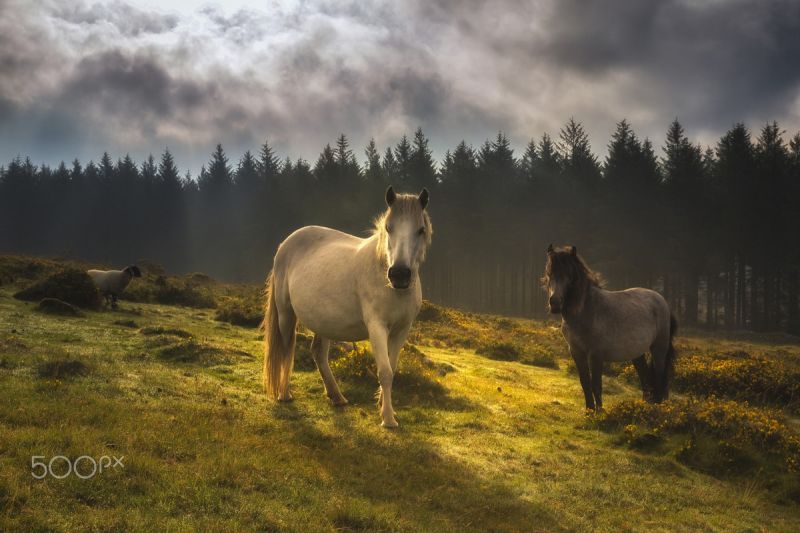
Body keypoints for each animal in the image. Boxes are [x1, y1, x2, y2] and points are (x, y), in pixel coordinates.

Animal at [266, 185, 432, 426]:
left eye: (420, 230)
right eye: (388, 228)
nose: (399, 275)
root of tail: (286, 243)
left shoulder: (402, 330)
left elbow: (392, 369)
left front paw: (384, 407)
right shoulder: (377, 327)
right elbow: (384, 372)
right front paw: (388, 419)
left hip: (324, 322)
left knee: (318, 352)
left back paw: (337, 397)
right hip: (286, 314)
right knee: (287, 350)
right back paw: (284, 394)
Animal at [544, 243, 676, 410]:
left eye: (569, 275)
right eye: (549, 273)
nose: (555, 303)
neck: (585, 310)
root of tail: (662, 301)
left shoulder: (595, 354)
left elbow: (596, 384)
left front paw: (600, 412)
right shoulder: (576, 352)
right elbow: (585, 383)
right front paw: (589, 410)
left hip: (659, 349)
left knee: (660, 377)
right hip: (637, 354)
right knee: (645, 379)